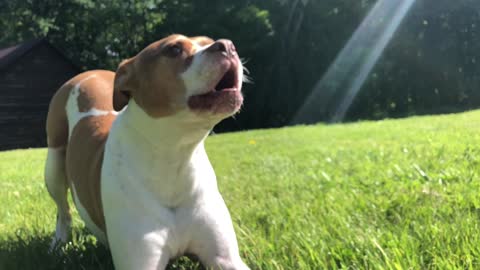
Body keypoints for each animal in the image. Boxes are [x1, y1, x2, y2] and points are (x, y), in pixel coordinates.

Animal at [44, 34, 251, 268]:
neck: (174, 156)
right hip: (53, 166)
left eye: (209, 40)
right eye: (174, 49)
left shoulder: (225, 258)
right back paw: (58, 244)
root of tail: (88, 73)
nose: (228, 45)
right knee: (63, 211)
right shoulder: (142, 262)